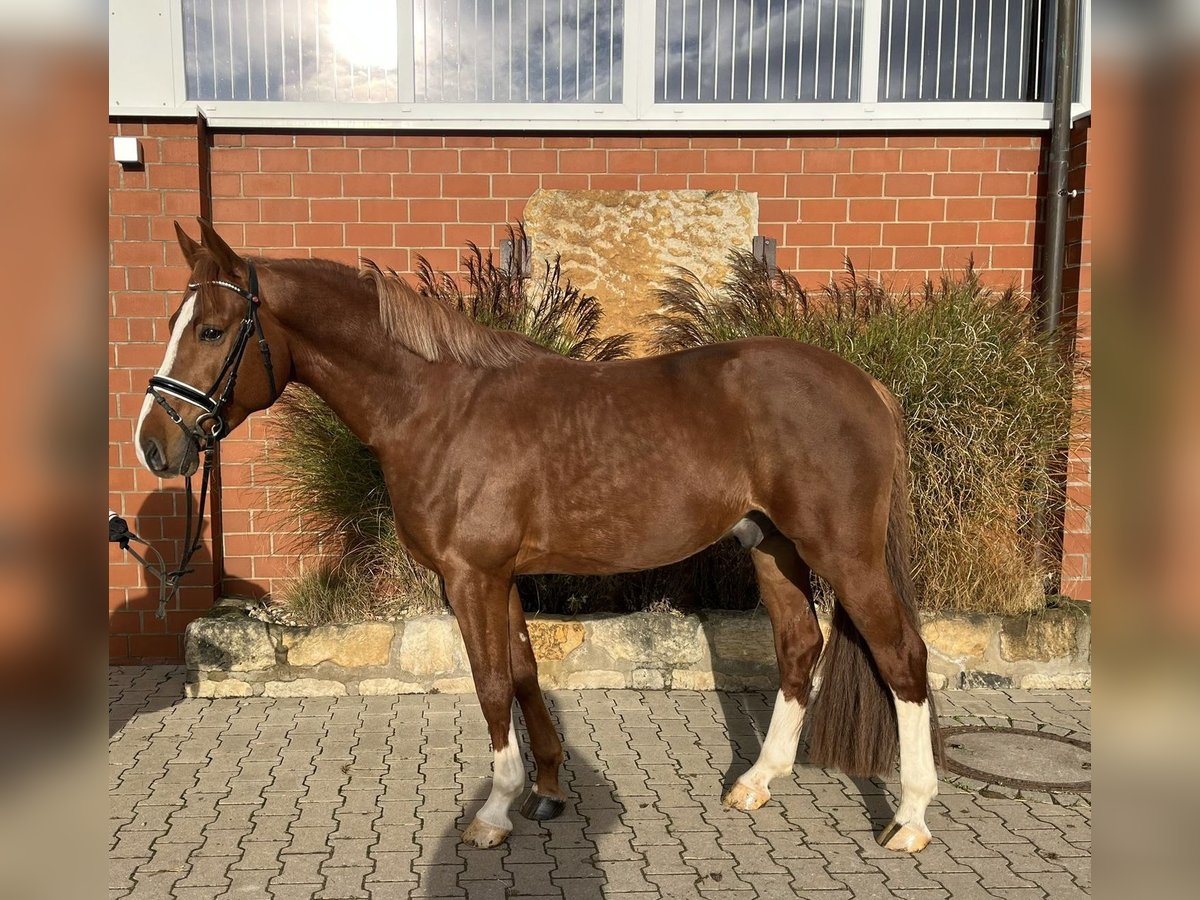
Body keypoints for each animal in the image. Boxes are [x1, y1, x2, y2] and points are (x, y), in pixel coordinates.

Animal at [134, 219, 940, 853]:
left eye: (211, 330)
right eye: (174, 322)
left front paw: (493, 811)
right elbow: (523, 675)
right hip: (773, 546)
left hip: (844, 555)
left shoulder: (470, 577)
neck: (437, 406)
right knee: (800, 646)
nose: (153, 445)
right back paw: (758, 781)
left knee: (904, 657)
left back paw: (910, 819)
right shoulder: (501, 577)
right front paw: (547, 790)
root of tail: (865, 385)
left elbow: (492, 686)